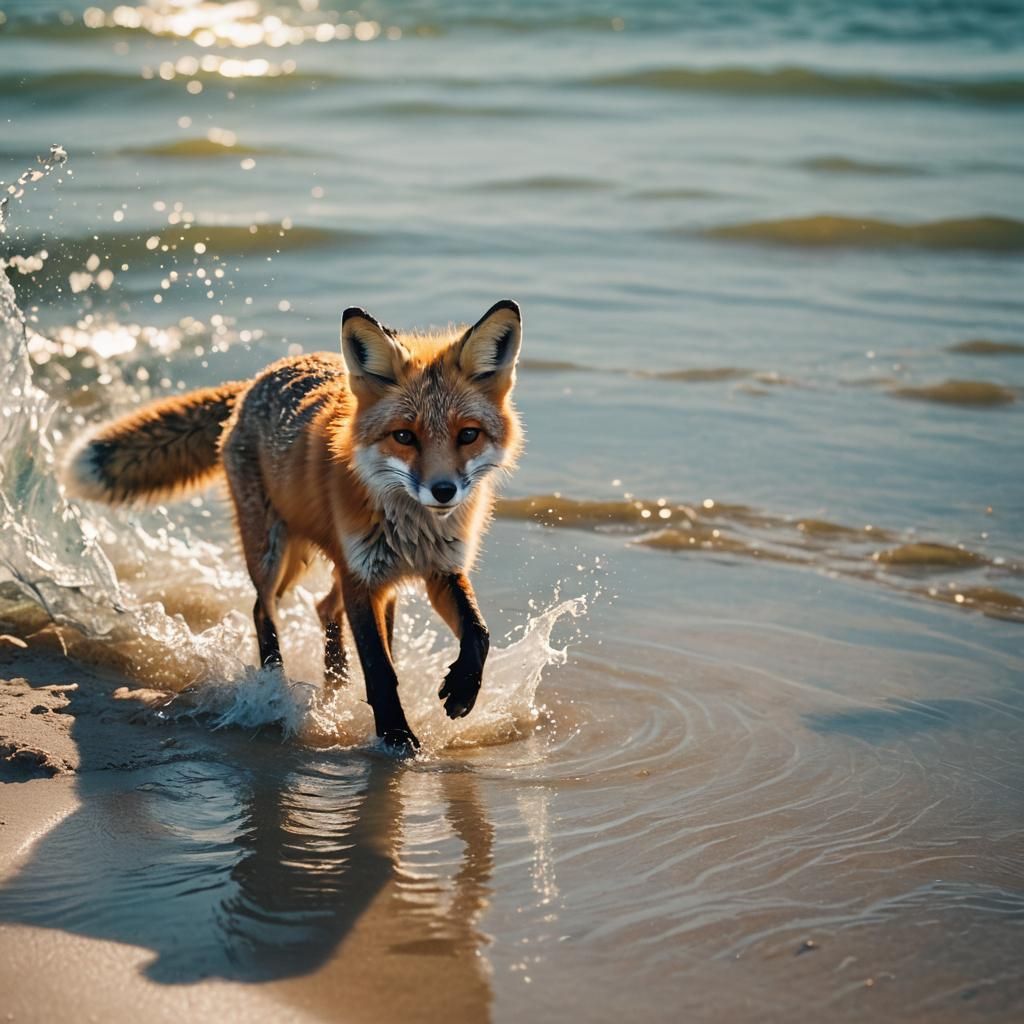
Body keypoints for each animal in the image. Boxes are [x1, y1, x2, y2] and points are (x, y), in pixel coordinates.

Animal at [65, 299, 525, 751]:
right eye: (404, 436)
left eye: (468, 435)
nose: (443, 491)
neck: (414, 529)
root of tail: (258, 379)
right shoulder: (362, 578)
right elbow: (380, 668)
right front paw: (397, 737)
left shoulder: (439, 569)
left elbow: (478, 632)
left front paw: (463, 691)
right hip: (275, 554)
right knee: (262, 610)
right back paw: (274, 690)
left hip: (355, 572)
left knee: (324, 608)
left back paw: (334, 681)